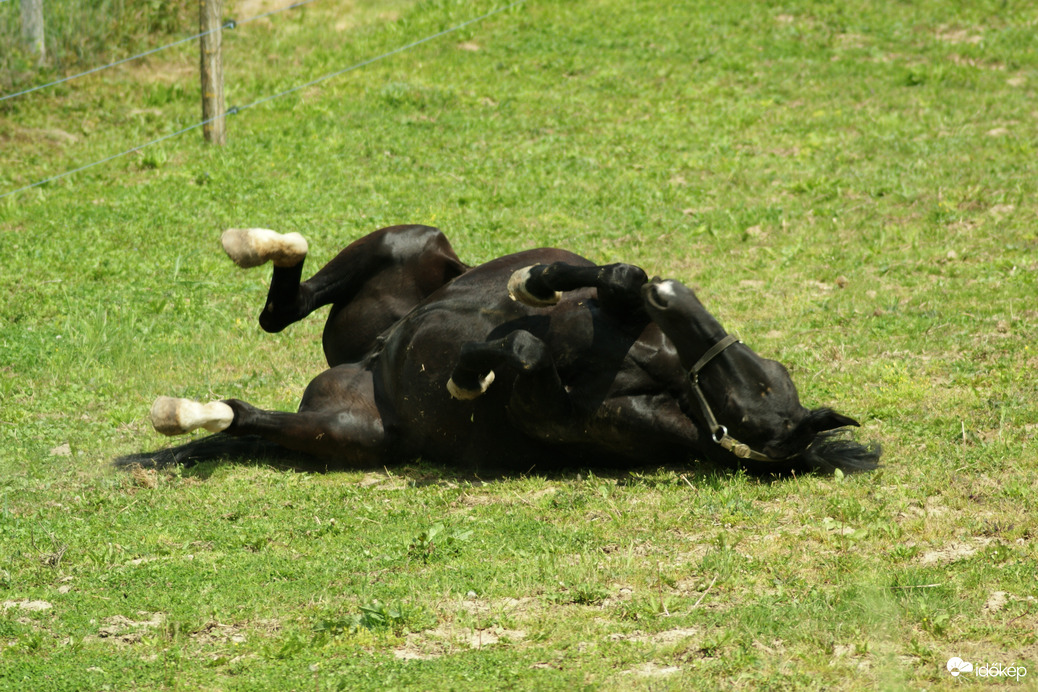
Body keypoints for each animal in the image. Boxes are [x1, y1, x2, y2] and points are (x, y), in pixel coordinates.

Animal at [142, 227, 880, 477]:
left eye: (753, 413)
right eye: (767, 371)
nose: (676, 297)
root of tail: (360, 366)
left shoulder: (546, 409)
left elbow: (520, 352)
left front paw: (472, 374)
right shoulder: (614, 301)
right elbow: (610, 276)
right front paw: (537, 282)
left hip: (349, 431)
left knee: (249, 410)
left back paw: (182, 413)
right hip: (415, 245)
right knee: (282, 309)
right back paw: (262, 243)